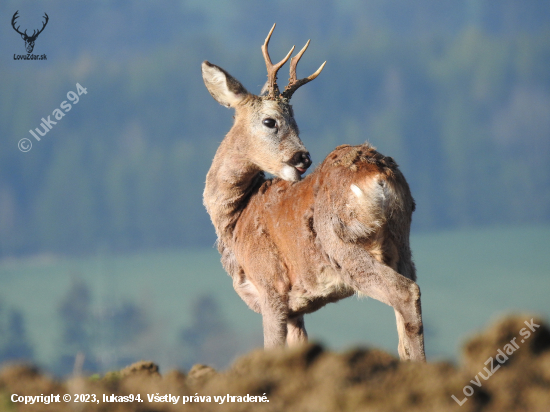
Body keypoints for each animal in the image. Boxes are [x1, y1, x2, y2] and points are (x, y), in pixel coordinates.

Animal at [203, 24, 426, 362]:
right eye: (270, 121)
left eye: (295, 121)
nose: (303, 158)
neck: (236, 218)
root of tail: (379, 173)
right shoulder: (296, 309)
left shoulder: (270, 286)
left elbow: (272, 348)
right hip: (402, 243)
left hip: (343, 242)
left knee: (405, 292)